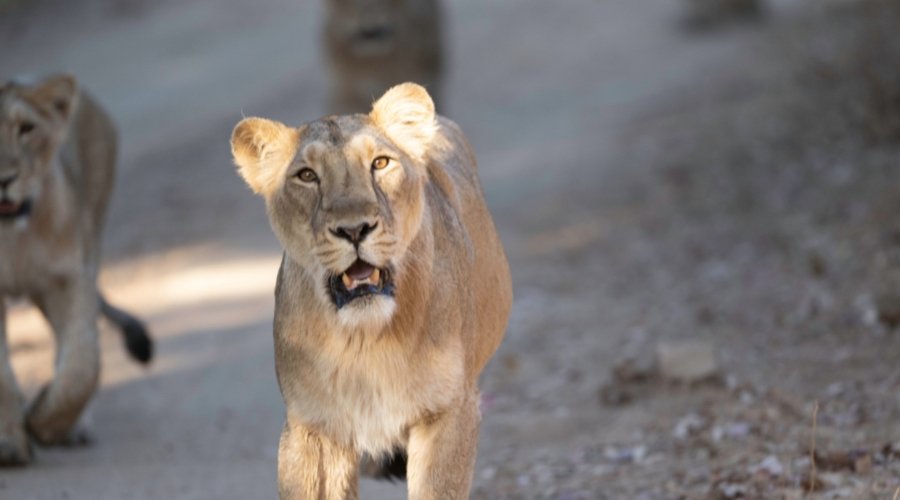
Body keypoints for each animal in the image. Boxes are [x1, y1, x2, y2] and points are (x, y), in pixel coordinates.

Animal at [0, 74, 153, 466]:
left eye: (26, 129)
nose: (4, 180)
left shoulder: (69, 277)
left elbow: (83, 364)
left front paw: (45, 423)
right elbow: (2, 374)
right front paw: (9, 443)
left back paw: (73, 427)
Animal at [230, 82, 512, 499]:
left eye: (380, 163)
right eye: (307, 175)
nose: (354, 229)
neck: (366, 340)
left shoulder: (449, 411)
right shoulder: (313, 427)